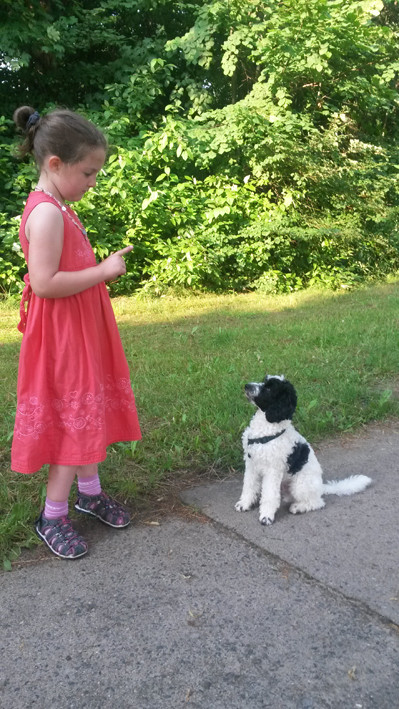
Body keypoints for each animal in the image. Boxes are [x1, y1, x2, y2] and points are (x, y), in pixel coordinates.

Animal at [236, 376, 374, 524]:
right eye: (264, 380)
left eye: (268, 388)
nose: (246, 386)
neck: (267, 429)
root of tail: (321, 486)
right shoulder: (251, 464)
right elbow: (249, 486)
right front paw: (244, 504)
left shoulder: (272, 470)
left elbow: (269, 495)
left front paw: (266, 516)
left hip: (299, 485)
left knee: (317, 502)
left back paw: (299, 507)